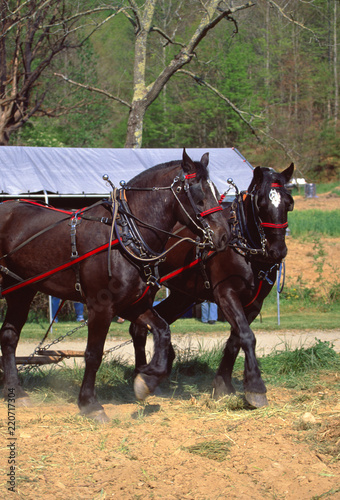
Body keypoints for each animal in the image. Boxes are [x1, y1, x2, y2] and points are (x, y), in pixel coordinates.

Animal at [0, 149, 230, 422]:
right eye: (197, 193)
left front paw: (147, 380)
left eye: (216, 191)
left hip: (21, 291)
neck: (125, 236)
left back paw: (16, 392)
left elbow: (163, 331)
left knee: (9, 337)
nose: (225, 235)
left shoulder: (133, 304)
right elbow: (93, 354)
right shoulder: (101, 307)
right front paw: (90, 403)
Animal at [130, 163, 294, 406]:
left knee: (160, 320)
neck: (243, 245)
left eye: (289, 203)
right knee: (140, 327)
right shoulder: (226, 294)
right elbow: (247, 336)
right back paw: (142, 373)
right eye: (261, 204)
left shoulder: (254, 304)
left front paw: (222, 384)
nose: (277, 251)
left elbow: (236, 339)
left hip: (184, 295)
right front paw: (256, 387)